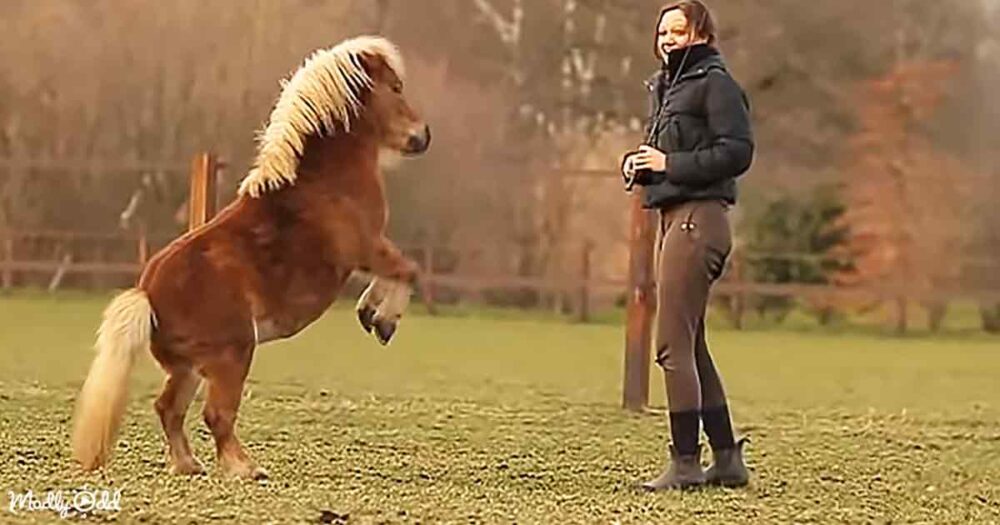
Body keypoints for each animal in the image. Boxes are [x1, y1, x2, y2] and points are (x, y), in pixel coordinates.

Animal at [70, 36, 430, 479]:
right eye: (395, 88)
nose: (422, 135)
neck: (322, 179)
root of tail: (147, 296)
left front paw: (370, 313)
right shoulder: (367, 247)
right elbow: (408, 270)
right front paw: (381, 320)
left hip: (190, 368)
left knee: (169, 409)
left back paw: (189, 465)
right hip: (234, 354)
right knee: (216, 415)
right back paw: (245, 468)